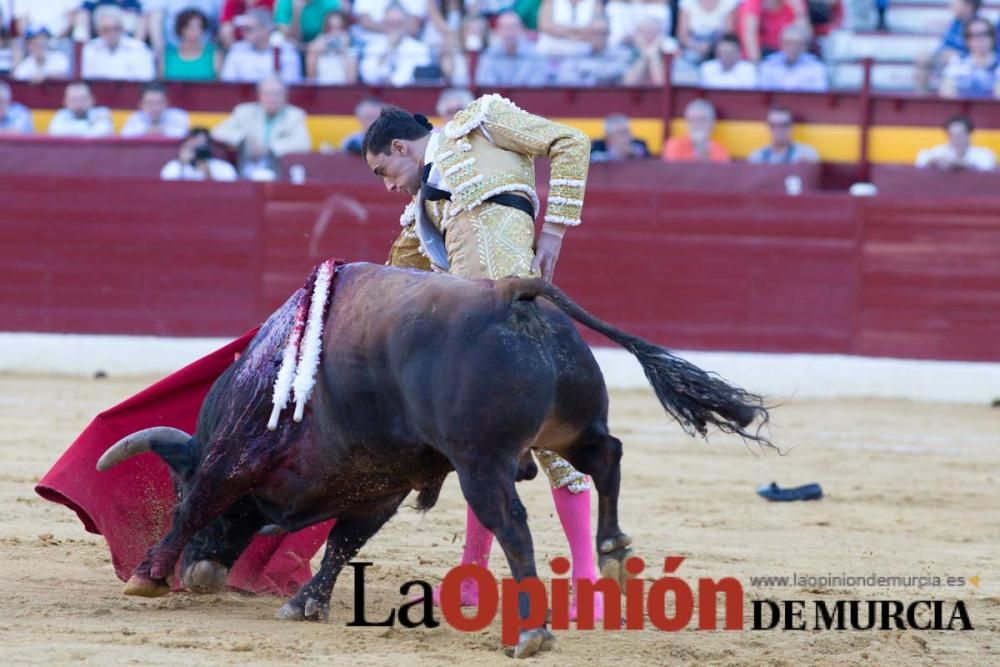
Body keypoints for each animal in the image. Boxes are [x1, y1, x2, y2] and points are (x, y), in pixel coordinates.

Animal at [97, 262, 768, 656]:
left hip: (482, 460)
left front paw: (147, 577)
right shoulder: (380, 484)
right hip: (570, 426)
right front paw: (306, 602)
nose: (201, 572)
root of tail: (510, 293)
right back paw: (613, 552)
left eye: (174, 484)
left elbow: (202, 502)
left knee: (513, 522)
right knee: (605, 457)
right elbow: (344, 540)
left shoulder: (235, 455)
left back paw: (534, 629)